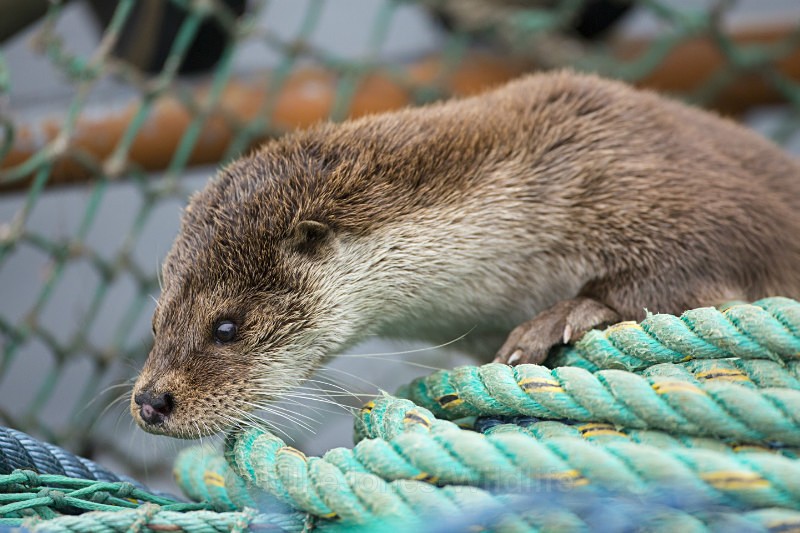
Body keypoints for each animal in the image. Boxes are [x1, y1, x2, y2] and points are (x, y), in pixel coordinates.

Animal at [131, 71, 800, 438]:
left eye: (225, 327)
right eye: (158, 323)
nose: (149, 401)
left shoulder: (667, 191)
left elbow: (692, 267)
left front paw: (560, 317)